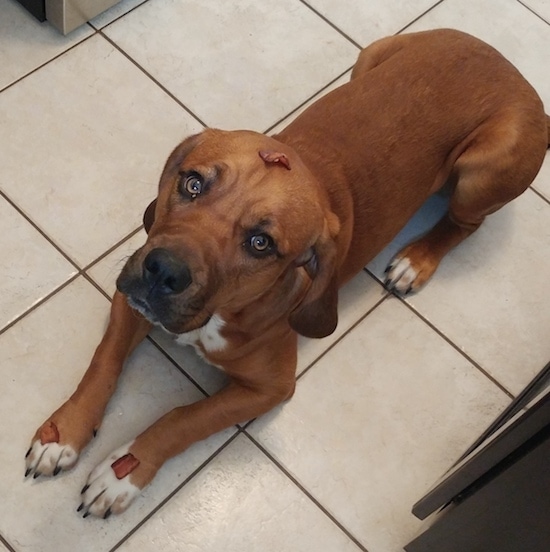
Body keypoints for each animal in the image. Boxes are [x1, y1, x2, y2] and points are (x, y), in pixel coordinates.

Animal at [24, 30, 548, 516]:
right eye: (192, 183)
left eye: (262, 243)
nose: (162, 271)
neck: (220, 314)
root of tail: (509, 66)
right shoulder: (128, 298)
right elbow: (103, 362)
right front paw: (63, 431)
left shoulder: (270, 388)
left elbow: (183, 417)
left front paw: (123, 472)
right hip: (369, 58)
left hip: (484, 170)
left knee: (467, 223)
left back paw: (415, 261)